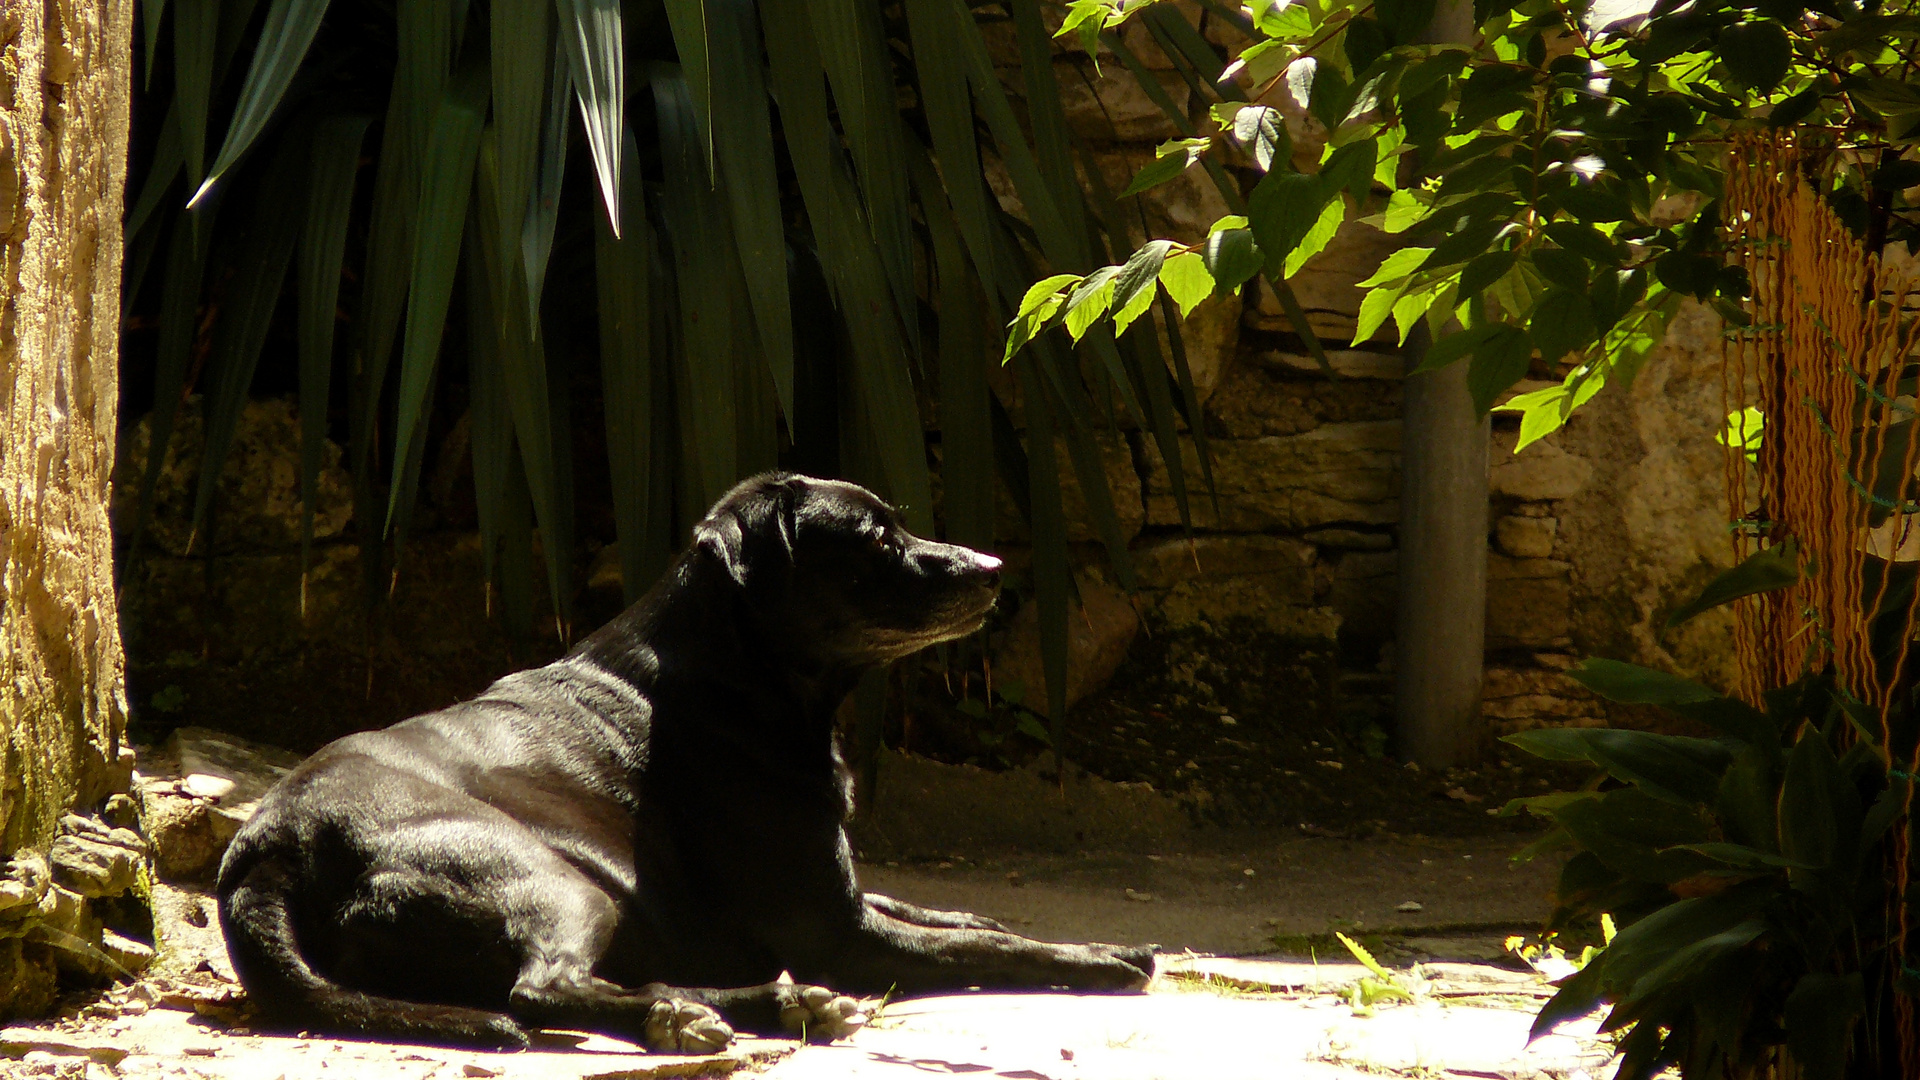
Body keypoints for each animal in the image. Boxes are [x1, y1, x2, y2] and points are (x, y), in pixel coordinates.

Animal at [224, 470, 1152, 1045]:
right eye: (877, 540)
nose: (995, 569)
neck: (735, 673)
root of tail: (265, 852)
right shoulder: (838, 932)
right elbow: (984, 951)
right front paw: (1100, 957)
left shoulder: (842, 893)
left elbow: (949, 918)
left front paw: (988, 918)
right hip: (554, 881)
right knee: (543, 990)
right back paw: (750, 1006)